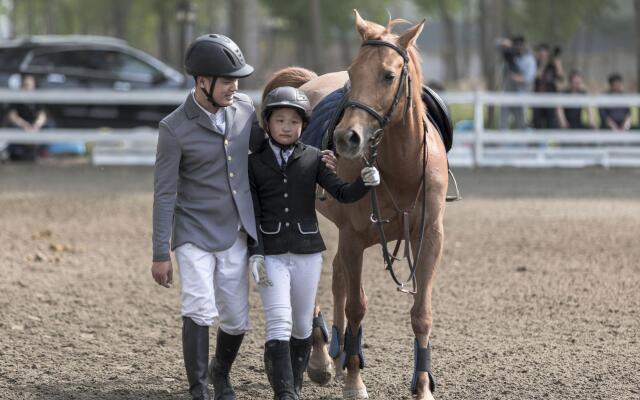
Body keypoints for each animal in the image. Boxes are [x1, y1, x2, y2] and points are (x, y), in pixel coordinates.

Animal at [262, 10, 448, 398]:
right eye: (352, 72)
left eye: (389, 75)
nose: (347, 137)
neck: (402, 169)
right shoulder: (353, 237)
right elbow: (357, 306)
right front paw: (353, 380)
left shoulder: (430, 238)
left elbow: (421, 313)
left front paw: (423, 385)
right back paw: (322, 357)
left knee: (336, 276)